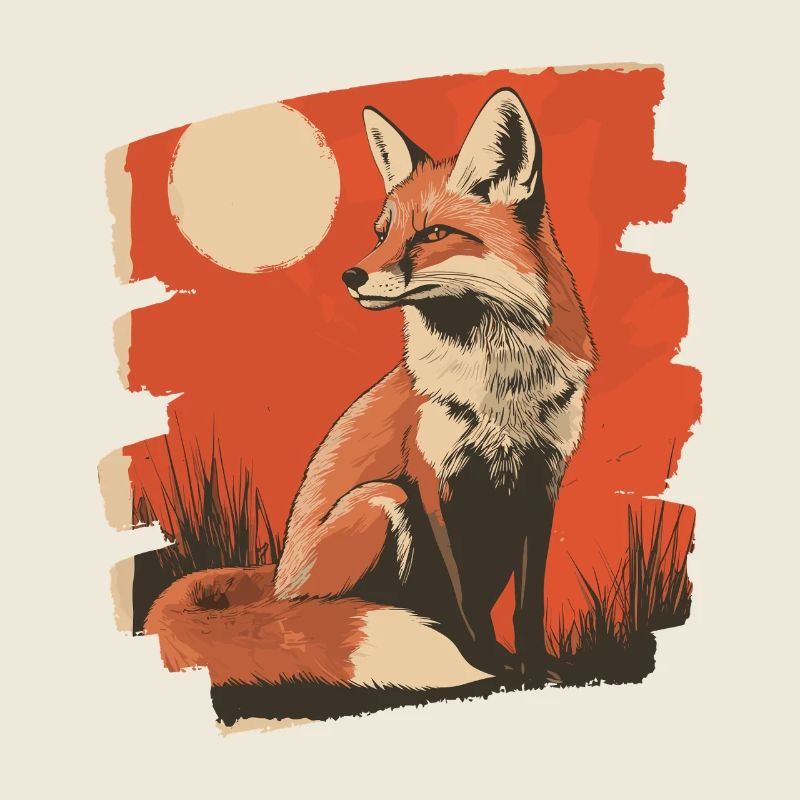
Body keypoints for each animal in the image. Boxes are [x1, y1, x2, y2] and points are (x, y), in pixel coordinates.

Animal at [146, 88, 596, 700]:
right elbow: (463, 602)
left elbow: (528, 606)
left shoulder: (542, 481)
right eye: (382, 232)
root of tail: (277, 581)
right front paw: (489, 666)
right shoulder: (431, 482)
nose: (350, 276)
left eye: (433, 234)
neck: (499, 389)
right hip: (382, 501)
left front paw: (534, 669)